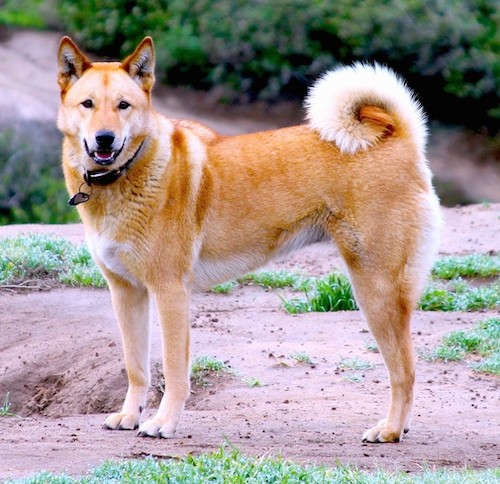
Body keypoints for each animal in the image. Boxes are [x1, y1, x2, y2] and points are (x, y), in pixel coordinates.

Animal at [56, 36, 440, 442]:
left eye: (123, 105)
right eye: (88, 104)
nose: (105, 139)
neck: (128, 174)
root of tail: (399, 135)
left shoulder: (170, 291)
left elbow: (174, 371)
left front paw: (163, 423)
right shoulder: (126, 293)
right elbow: (136, 367)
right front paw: (130, 416)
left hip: (375, 291)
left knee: (405, 371)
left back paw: (390, 430)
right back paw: (398, 426)